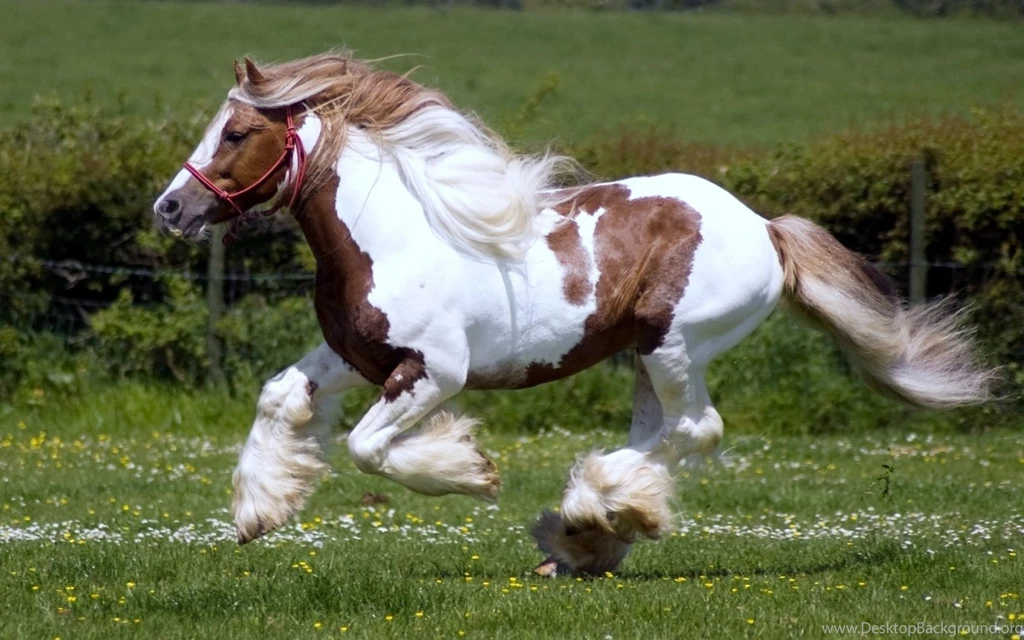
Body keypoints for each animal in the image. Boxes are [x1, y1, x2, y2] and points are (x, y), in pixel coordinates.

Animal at [153, 52, 994, 576]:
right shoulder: (351, 357)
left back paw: (590, 515)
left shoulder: (434, 372)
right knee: (664, 433)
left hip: (674, 345)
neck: (391, 235)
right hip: (648, 358)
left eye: (237, 132)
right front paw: (258, 512)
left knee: (696, 429)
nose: (170, 208)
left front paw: (471, 471)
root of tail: (764, 228)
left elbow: (367, 448)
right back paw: (587, 534)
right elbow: (278, 398)